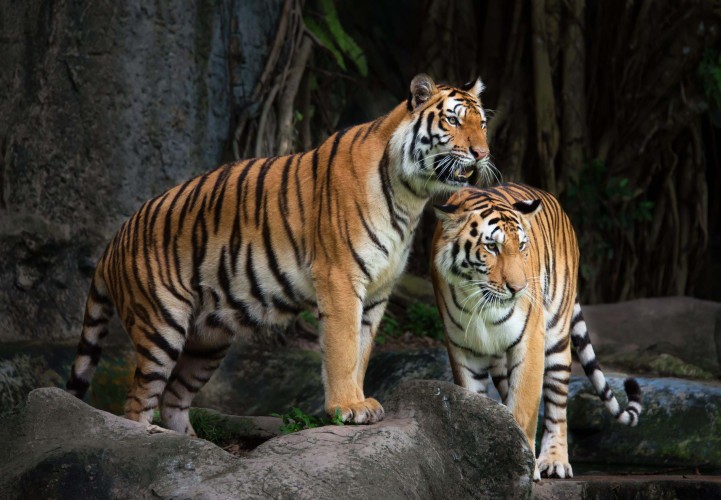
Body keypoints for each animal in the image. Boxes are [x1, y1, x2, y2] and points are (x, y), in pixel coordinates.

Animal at [66, 73, 491, 434]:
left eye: (483, 123)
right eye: (453, 121)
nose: (482, 153)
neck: (410, 195)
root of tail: (115, 238)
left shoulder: (377, 292)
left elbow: (362, 351)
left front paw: (360, 400)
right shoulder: (340, 277)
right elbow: (342, 348)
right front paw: (347, 407)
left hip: (209, 340)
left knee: (174, 399)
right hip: (161, 326)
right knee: (138, 399)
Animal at [430, 182, 642, 480]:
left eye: (521, 245)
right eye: (491, 247)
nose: (518, 289)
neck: (480, 304)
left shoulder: (530, 341)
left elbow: (523, 408)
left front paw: (521, 466)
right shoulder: (463, 349)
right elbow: (474, 403)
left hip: (556, 337)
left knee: (557, 406)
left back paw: (554, 461)